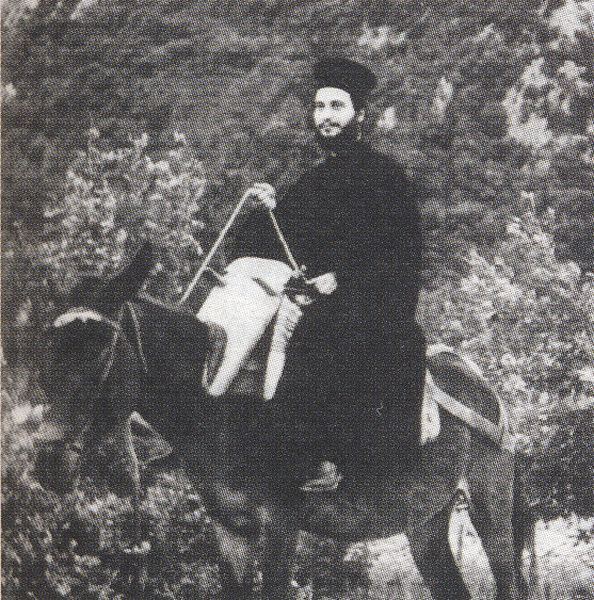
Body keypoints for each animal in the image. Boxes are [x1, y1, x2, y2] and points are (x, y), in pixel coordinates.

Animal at [35, 244, 531, 600]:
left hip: (491, 511)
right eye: (48, 349)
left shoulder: (281, 525)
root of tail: (477, 381)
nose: (48, 465)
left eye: (101, 350)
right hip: (426, 522)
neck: (219, 398)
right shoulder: (230, 529)